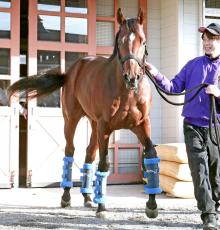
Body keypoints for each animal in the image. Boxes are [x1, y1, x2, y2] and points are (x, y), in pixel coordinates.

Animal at [8, 8, 161, 218]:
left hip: (94, 124)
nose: (131, 77)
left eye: (143, 41)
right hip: (72, 120)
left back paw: (88, 197)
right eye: (120, 41)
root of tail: (71, 71)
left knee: (89, 152)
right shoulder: (106, 127)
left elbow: (151, 154)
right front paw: (102, 207)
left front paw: (152, 205)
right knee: (70, 151)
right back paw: (66, 197)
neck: (127, 92)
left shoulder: (142, 124)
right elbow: (104, 164)